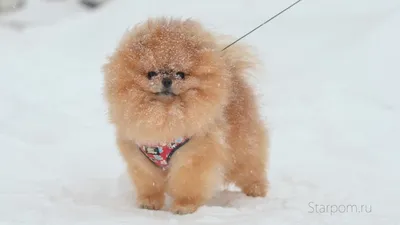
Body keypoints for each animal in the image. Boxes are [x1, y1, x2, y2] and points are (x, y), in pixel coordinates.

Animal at [103, 16, 270, 214]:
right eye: (151, 73)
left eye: (180, 74)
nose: (167, 80)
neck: (165, 115)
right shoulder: (141, 158)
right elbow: (150, 183)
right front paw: (149, 203)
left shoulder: (194, 154)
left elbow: (187, 183)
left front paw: (184, 206)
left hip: (242, 150)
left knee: (251, 169)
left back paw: (256, 192)